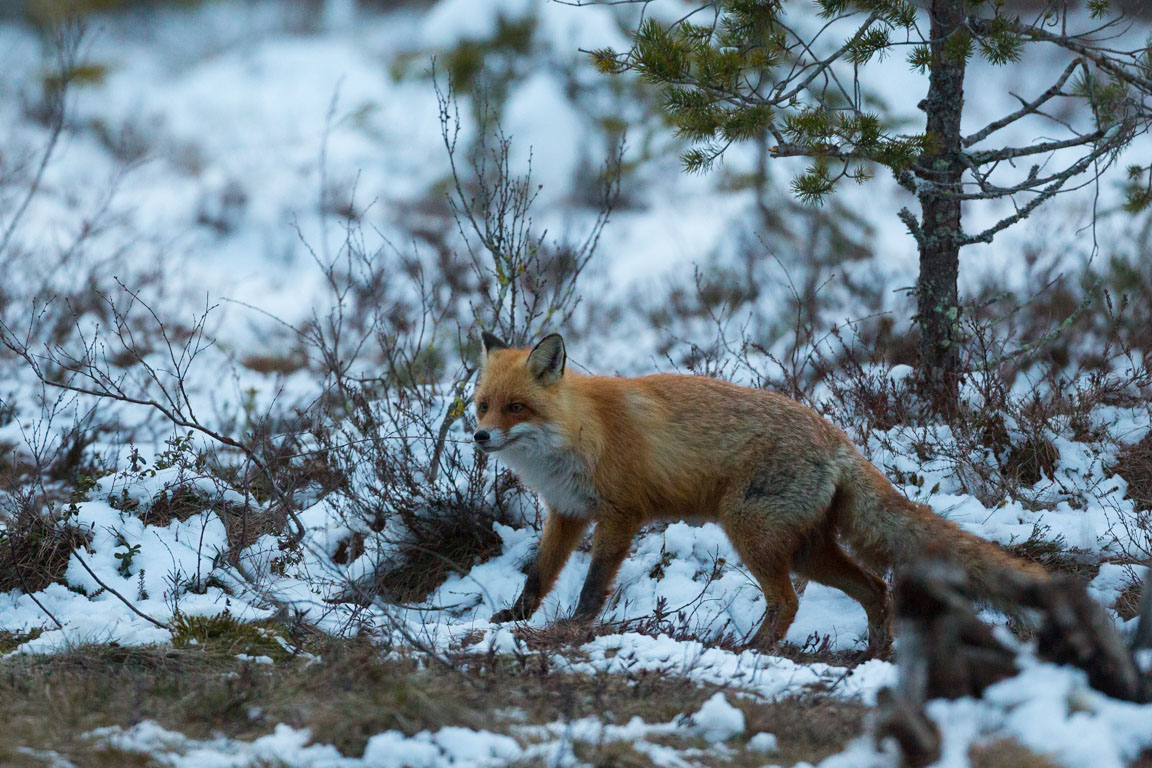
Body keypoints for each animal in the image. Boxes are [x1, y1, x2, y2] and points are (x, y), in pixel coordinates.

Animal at [472, 331, 1050, 654]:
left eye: (516, 407)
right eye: (481, 405)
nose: (478, 437)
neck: (577, 432)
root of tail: (839, 439)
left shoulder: (621, 514)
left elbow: (594, 585)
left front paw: (574, 628)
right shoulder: (567, 513)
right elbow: (539, 575)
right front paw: (513, 619)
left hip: (752, 534)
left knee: (789, 602)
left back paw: (754, 649)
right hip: (807, 549)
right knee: (874, 587)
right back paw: (872, 653)